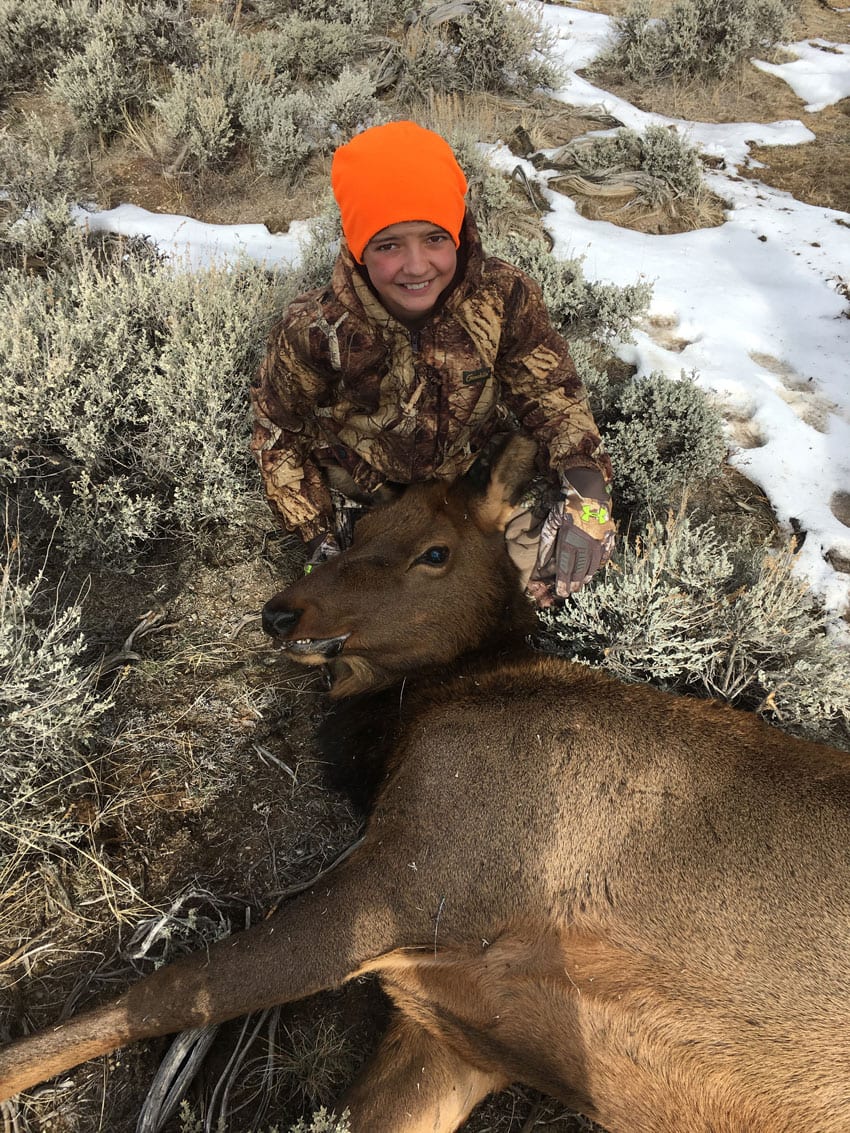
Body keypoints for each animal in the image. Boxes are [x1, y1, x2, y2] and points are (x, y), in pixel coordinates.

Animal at [2, 434, 850, 1133]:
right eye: (357, 530)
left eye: (435, 553)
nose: (282, 612)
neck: (413, 719)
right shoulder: (454, 1034)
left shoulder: (412, 880)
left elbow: (163, 991)